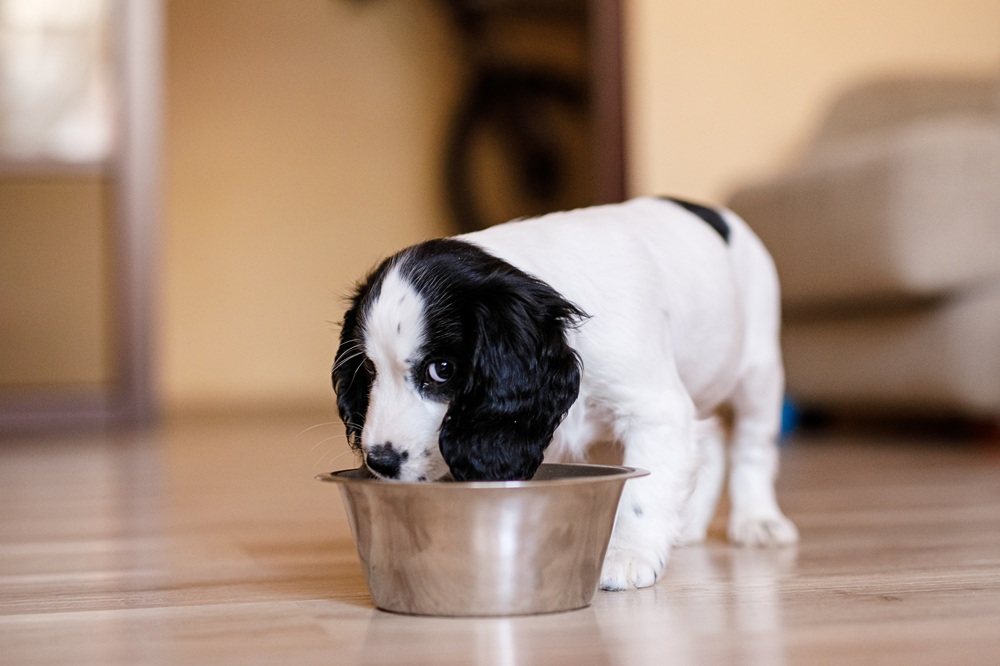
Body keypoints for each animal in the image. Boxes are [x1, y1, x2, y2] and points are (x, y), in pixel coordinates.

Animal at [332, 196, 798, 590]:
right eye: (369, 369)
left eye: (441, 370)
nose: (380, 461)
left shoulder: (655, 410)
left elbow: (646, 491)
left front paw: (628, 552)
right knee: (712, 438)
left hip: (758, 370)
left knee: (752, 446)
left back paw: (757, 520)